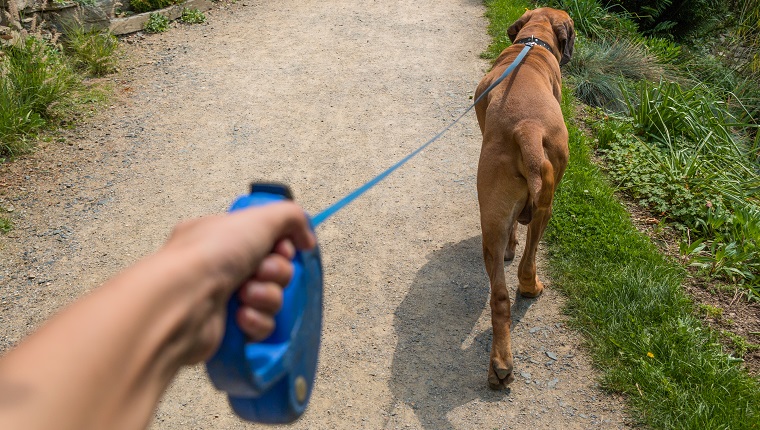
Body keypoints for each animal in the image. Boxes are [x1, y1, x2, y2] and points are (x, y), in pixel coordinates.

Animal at [472, 7, 572, 390]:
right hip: (545, 203)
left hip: (494, 220)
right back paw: (531, 289)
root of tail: (526, 129)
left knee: (499, 295)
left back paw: (500, 365)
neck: (534, 41)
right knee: (528, 258)